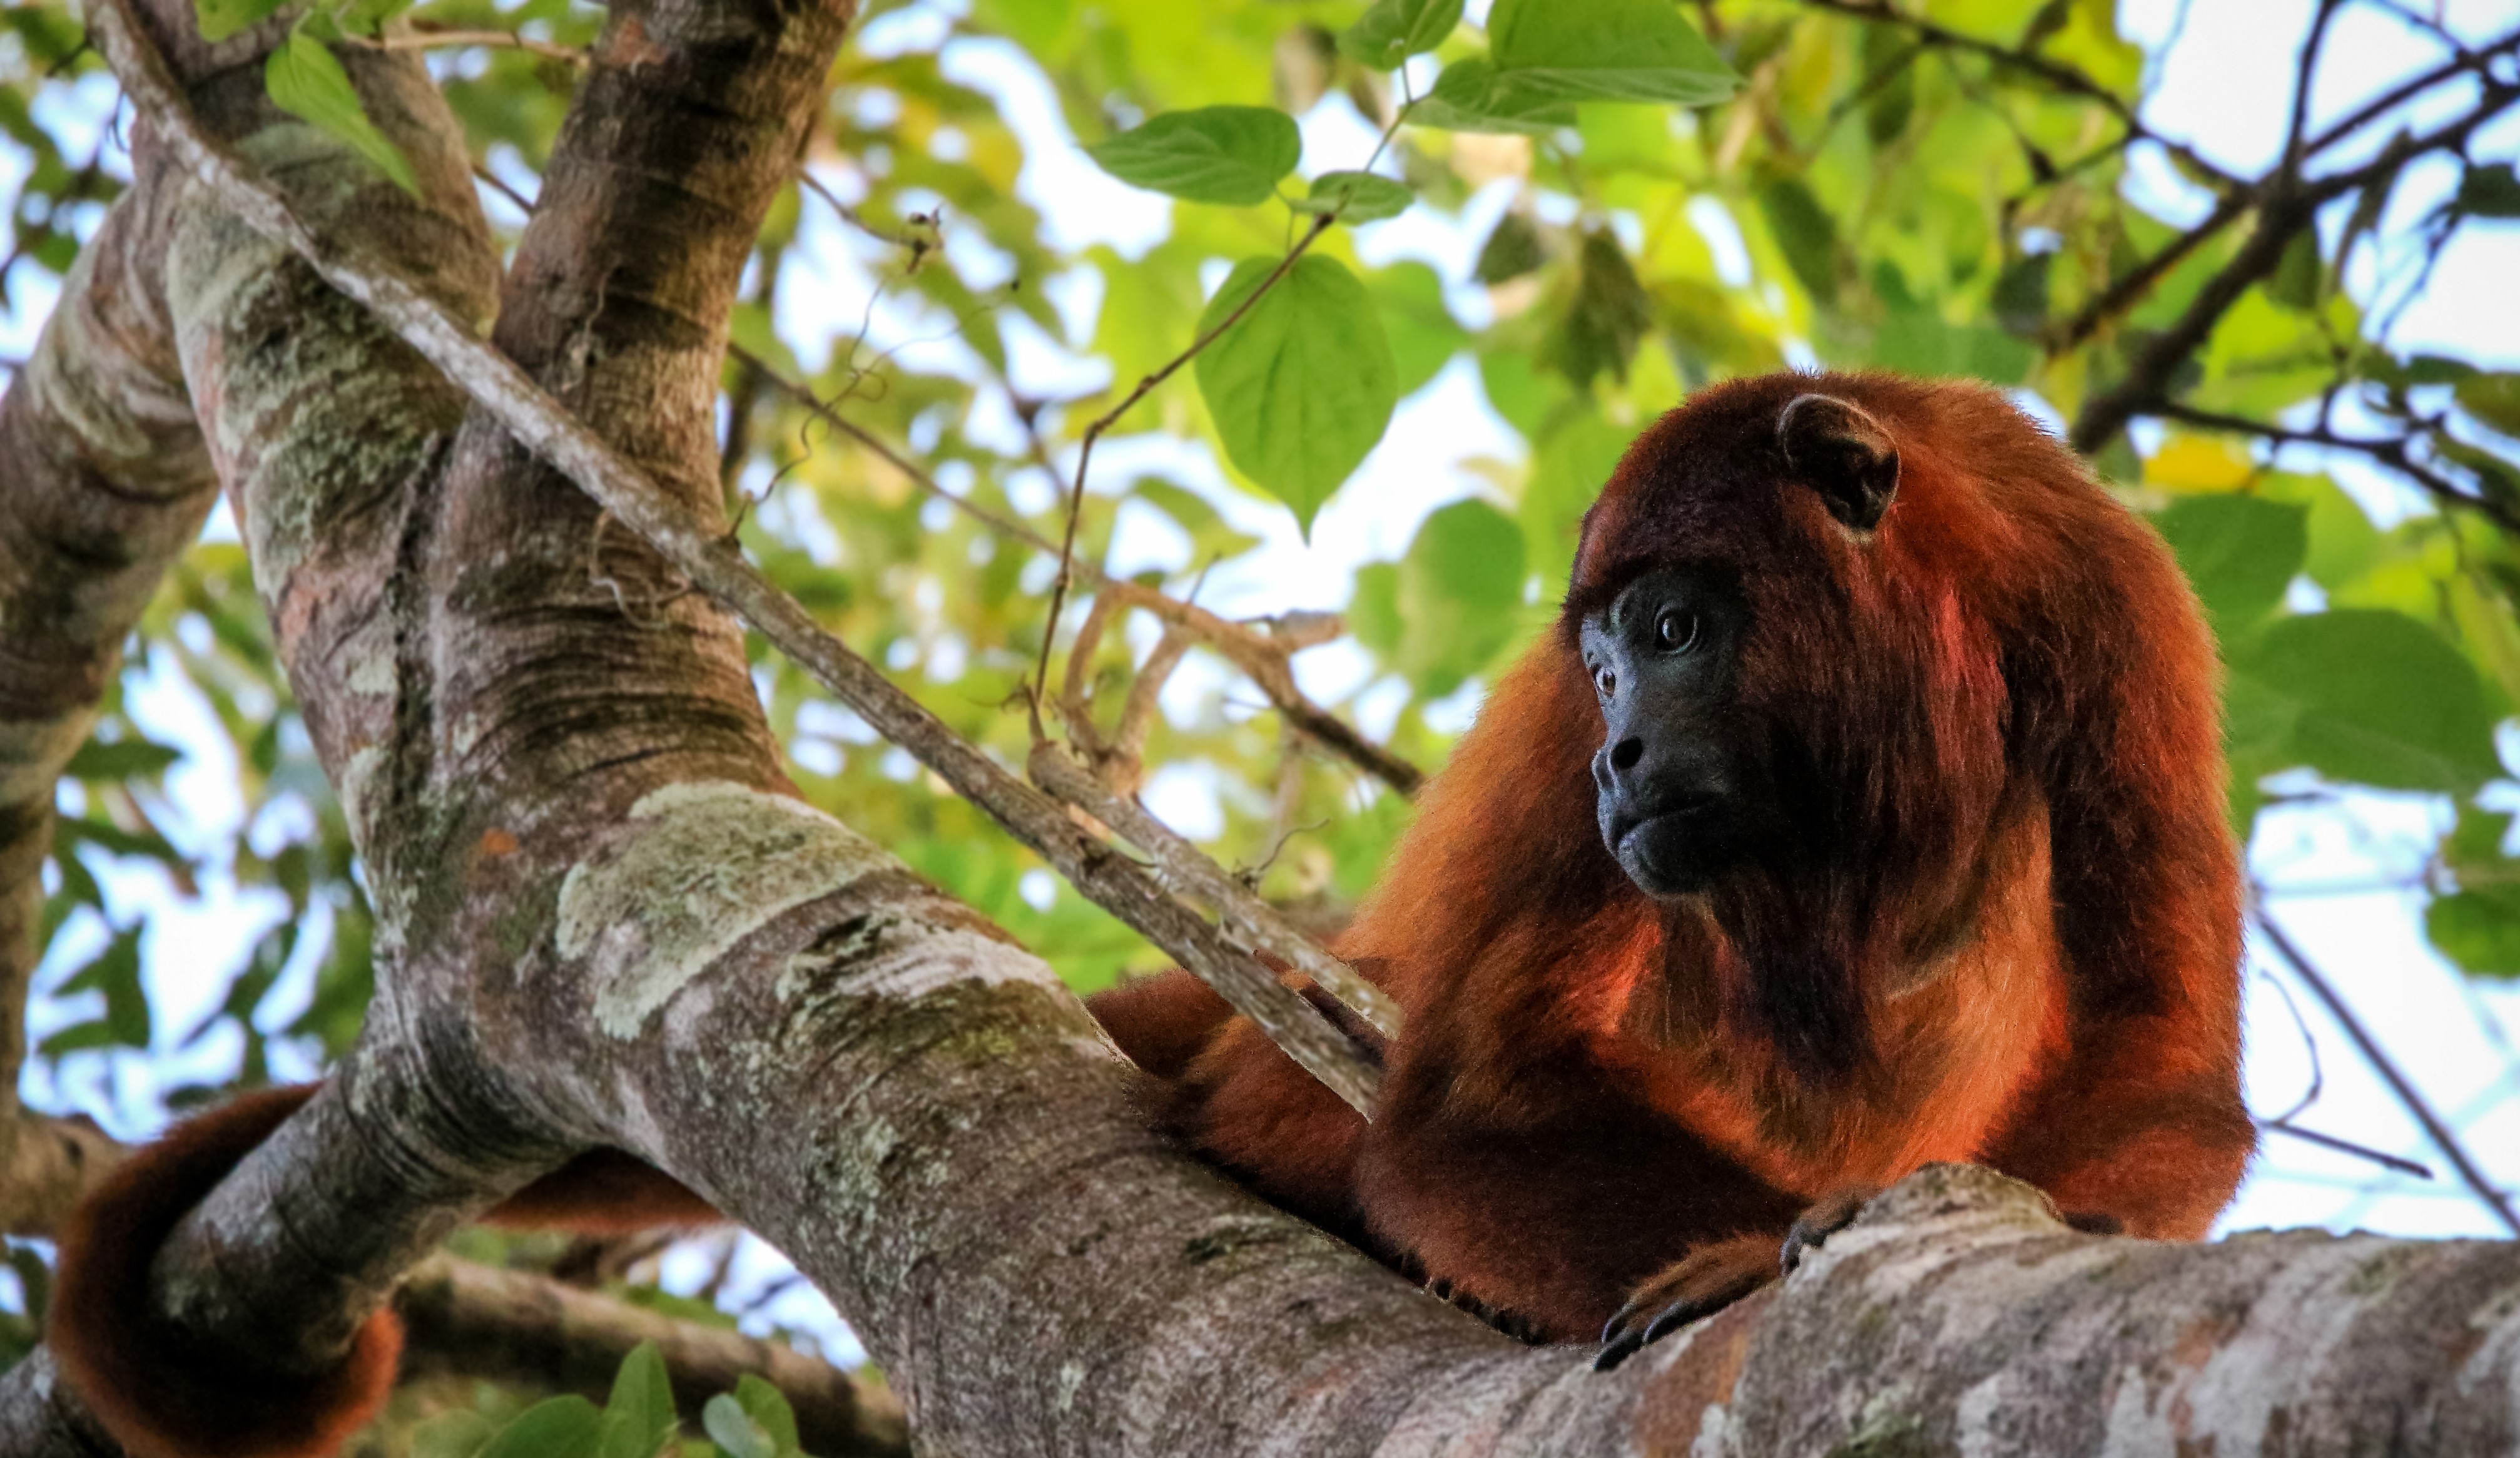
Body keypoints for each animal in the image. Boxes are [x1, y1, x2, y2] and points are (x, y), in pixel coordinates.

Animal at [1094, 363, 2258, 1362]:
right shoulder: (1563, 734)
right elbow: (1472, 1108)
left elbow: (2158, 1044)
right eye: (1603, 673)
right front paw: (1751, 1255)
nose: (1617, 755)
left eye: (1671, 630)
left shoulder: (2110, 602)